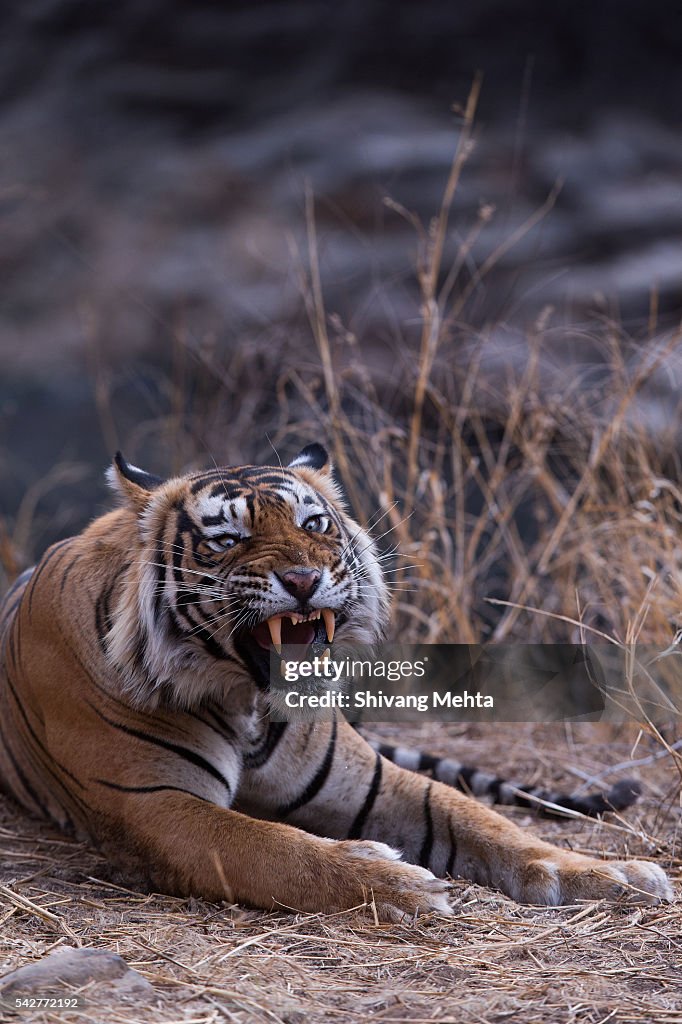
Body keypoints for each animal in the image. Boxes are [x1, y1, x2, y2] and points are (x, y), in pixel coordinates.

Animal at [0, 444, 667, 917]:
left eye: (315, 524)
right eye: (228, 540)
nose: (303, 579)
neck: (247, 705)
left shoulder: (372, 783)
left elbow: (480, 819)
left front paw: (612, 872)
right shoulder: (155, 806)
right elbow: (272, 848)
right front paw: (396, 882)